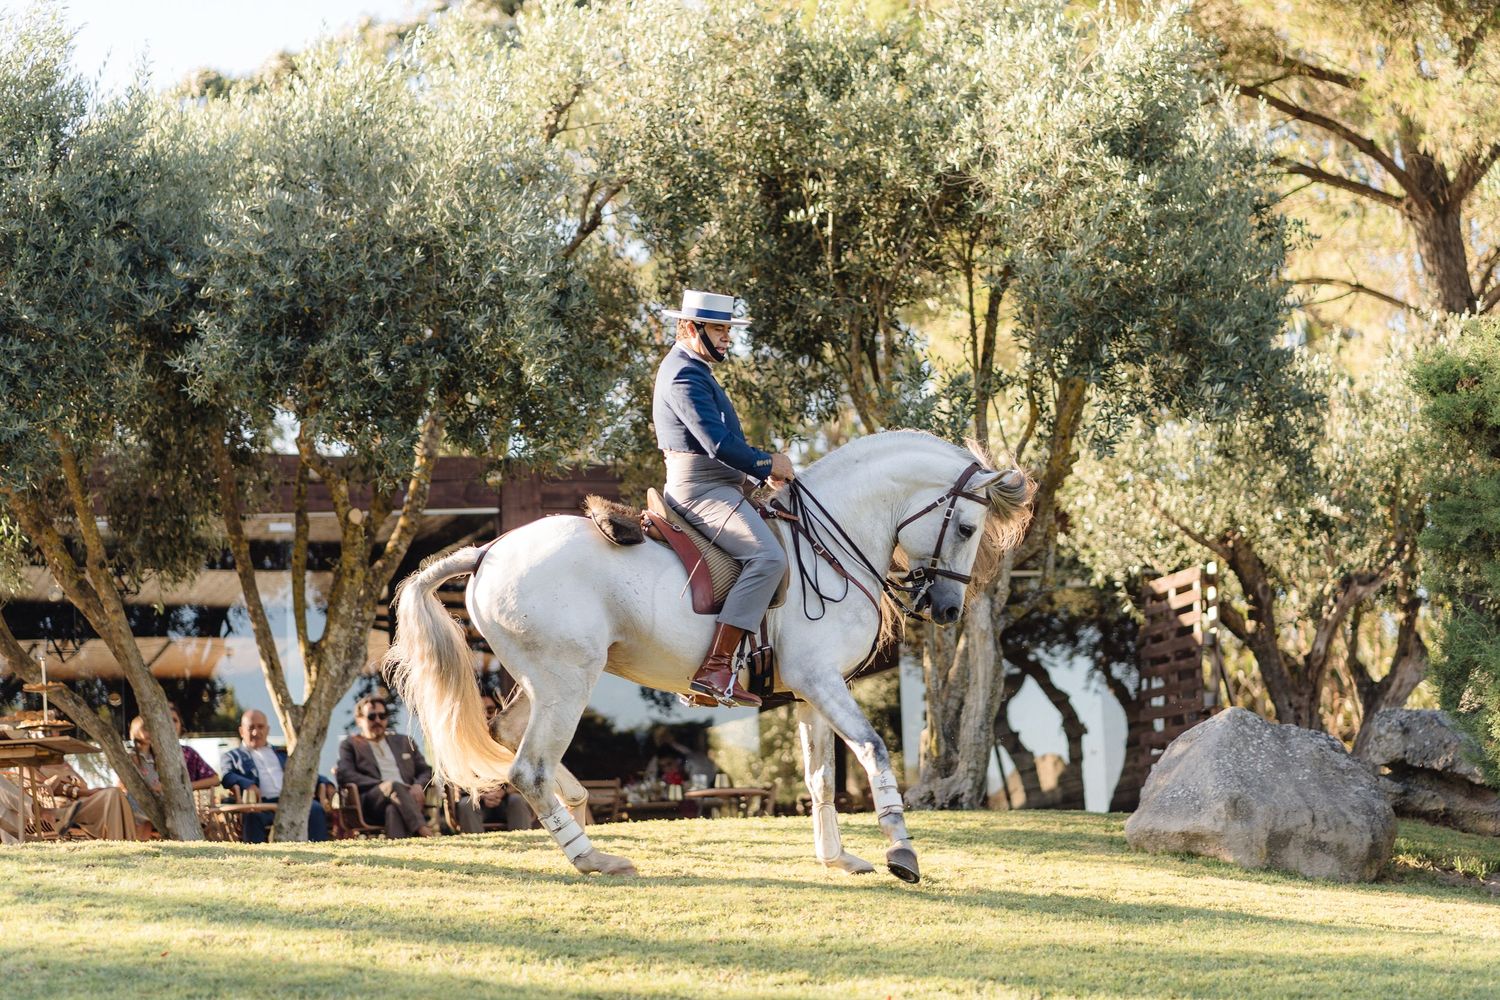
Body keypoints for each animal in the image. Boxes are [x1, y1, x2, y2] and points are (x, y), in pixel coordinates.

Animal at [386, 430, 1033, 881]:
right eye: (968, 528)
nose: (947, 610)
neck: (829, 543)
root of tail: (487, 551)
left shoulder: (810, 693)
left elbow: (821, 777)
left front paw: (837, 859)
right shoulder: (822, 681)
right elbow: (874, 750)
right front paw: (902, 851)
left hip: (546, 680)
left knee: (509, 734)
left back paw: (577, 804)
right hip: (569, 681)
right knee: (529, 768)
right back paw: (594, 859)